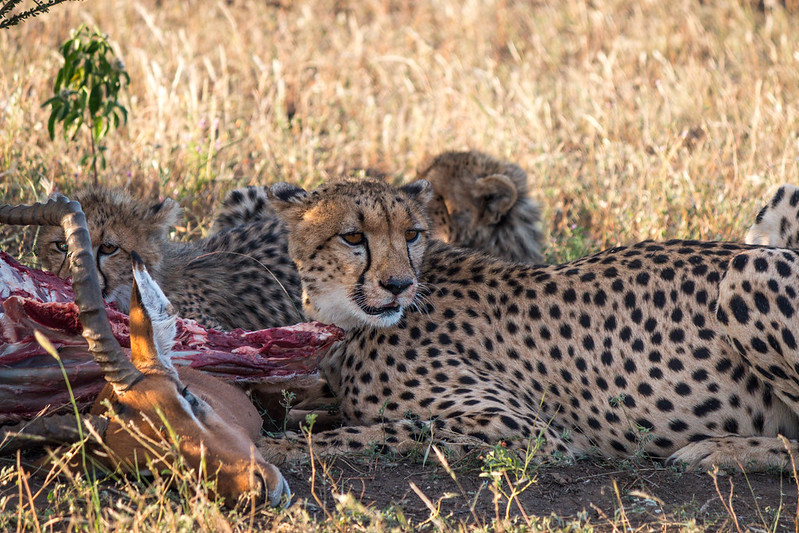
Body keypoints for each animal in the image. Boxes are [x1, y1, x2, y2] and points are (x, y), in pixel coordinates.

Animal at [253, 178, 799, 470]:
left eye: (411, 234)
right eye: (352, 237)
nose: (398, 285)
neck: (349, 321)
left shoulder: (522, 429)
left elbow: (380, 432)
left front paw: (273, 446)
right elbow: (322, 408)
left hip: (750, 268)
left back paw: (718, 451)